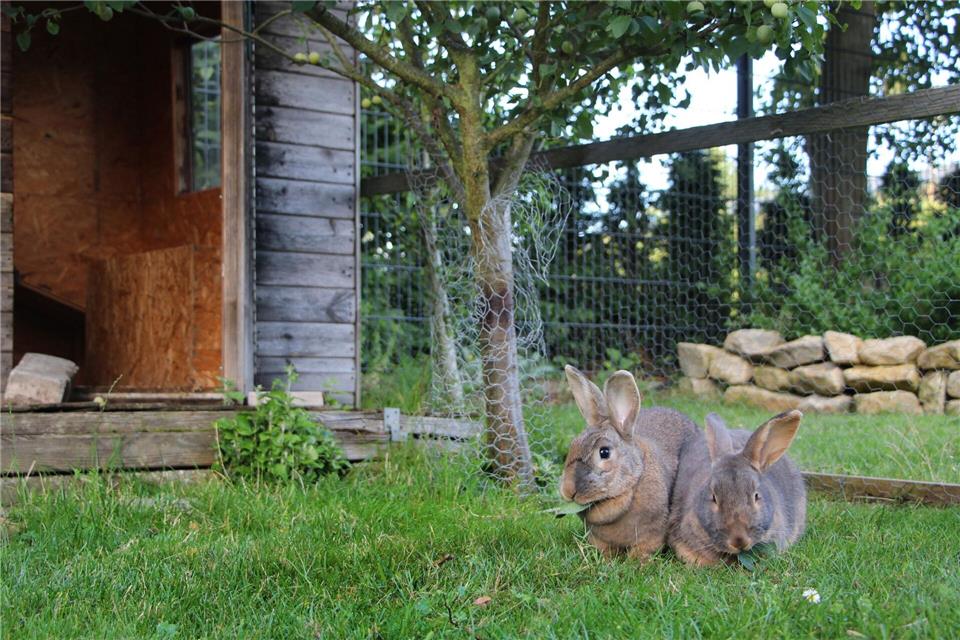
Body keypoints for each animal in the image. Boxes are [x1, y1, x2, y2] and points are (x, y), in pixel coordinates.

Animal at [559, 365, 700, 561]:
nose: (568, 489)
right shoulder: (598, 538)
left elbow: (642, 550)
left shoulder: (651, 535)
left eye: (604, 452)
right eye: (573, 445)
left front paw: (637, 563)